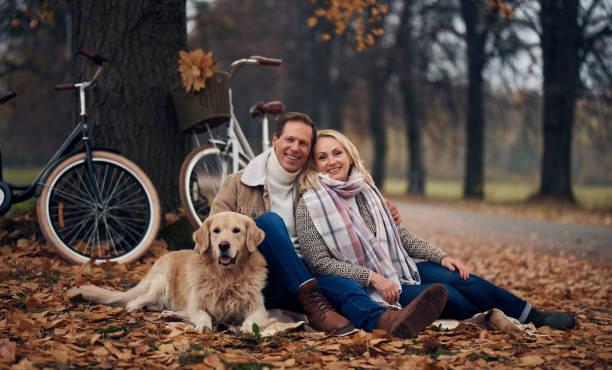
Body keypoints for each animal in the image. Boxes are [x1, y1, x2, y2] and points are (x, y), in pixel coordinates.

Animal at [65, 211, 268, 332]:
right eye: (216, 230)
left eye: (236, 230)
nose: (223, 245)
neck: (226, 276)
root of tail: (163, 257)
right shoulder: (197, 305)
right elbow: (202, 314)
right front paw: (204, 325)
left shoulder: (258, 307)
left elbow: (253, 319)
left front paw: (247, 329)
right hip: (161, 282)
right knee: (136, 300)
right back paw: (137, 307)